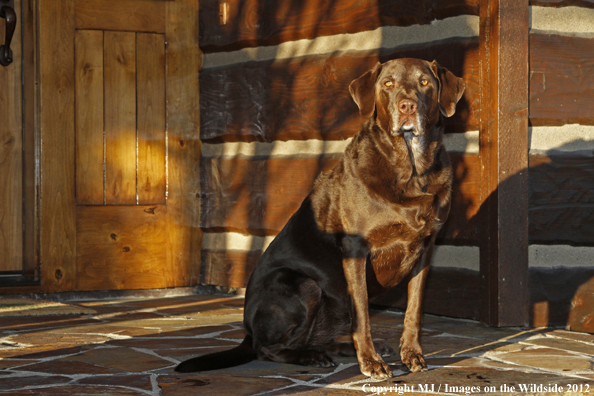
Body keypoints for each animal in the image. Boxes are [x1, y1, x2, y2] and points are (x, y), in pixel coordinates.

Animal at [176, 58, 462, 378]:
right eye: (388, 83)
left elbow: (414, 310)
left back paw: (334, 350)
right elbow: (362, 313)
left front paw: (411, 354)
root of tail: (248, 333)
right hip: (304, 286)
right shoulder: (355, 250)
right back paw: (311, 357)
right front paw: (371, 361)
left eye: (425, 82)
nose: (407, 106)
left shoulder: (424, 249)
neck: (410, 172)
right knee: (268, 349)